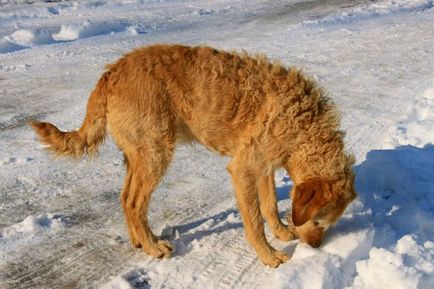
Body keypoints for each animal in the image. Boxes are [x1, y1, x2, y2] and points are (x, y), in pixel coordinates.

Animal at [29, 44, 356, 266]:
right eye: (319, 223)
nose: (315, 248)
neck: (304, 122)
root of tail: (111, 73)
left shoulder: (264, 166)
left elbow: (271, 205)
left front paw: (283, 233)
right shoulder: (243, 170)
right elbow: (254, 221)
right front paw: (269, 256)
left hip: (138, 156)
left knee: (125, 198)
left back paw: (140, 240)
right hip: (156, 154)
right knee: (135, 203)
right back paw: (152, 247)